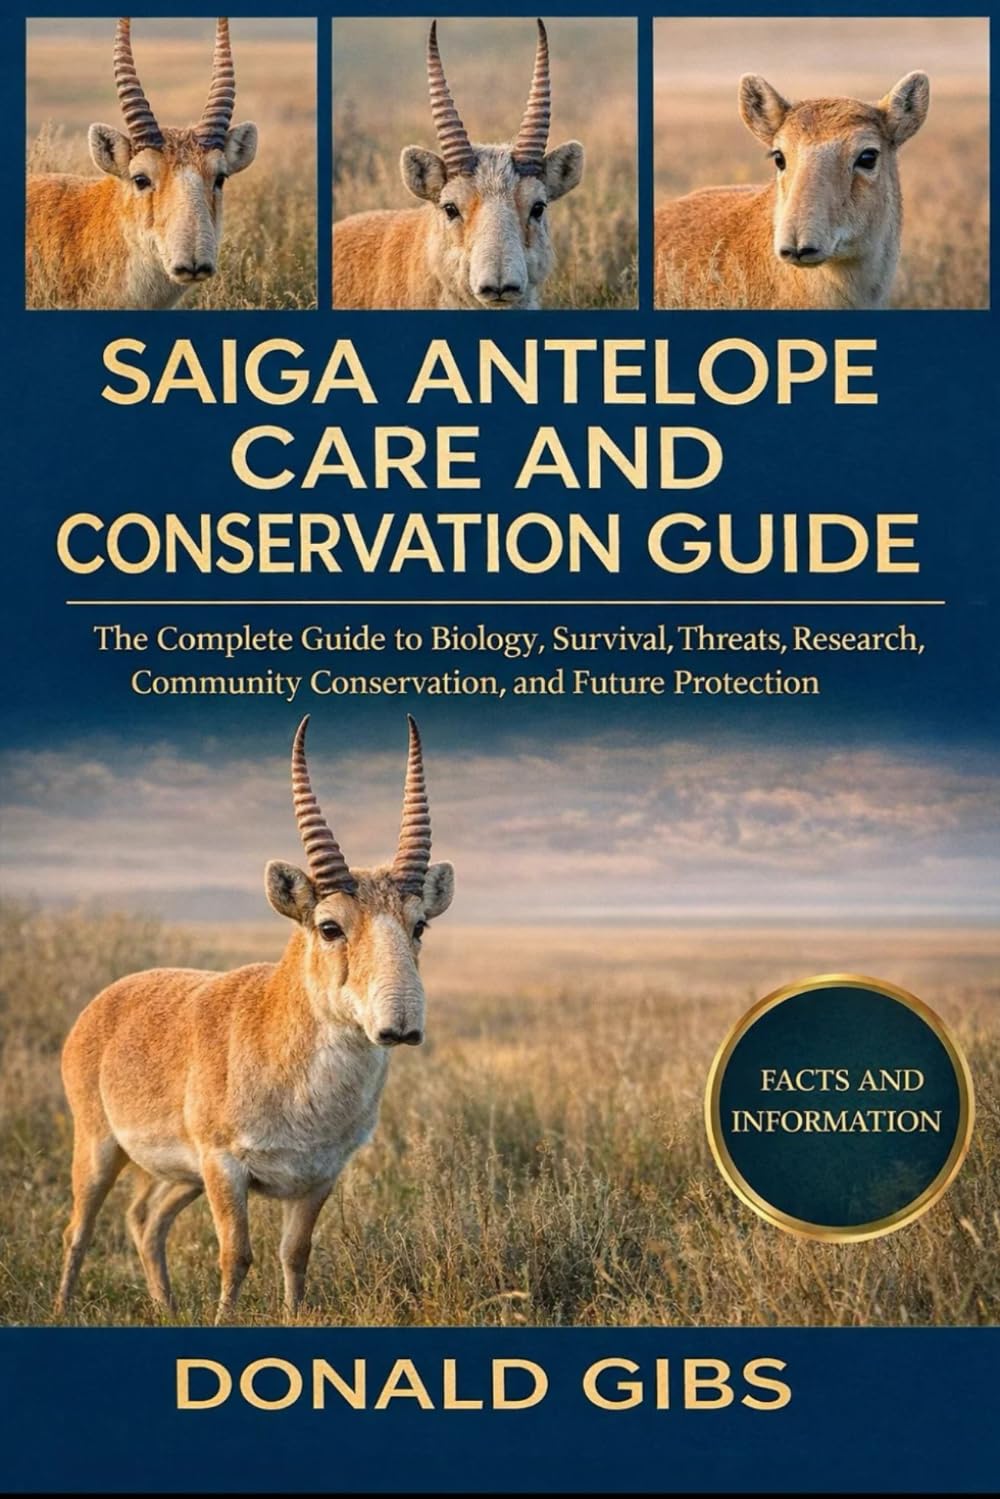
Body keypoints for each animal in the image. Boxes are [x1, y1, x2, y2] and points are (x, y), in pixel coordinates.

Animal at [56, 716, 454, 1321]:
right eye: (330, 926)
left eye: (419, 925)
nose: (401, 1024)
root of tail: (105, 1001)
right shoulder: (225, 1166)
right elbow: (236, 1255)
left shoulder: (319, 1175)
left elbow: (295, 1253)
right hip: (101, 1146)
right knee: (79, 1227)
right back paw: (61, 1307)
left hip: (182, 1176)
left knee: (144, 1218)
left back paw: (167, 1307)